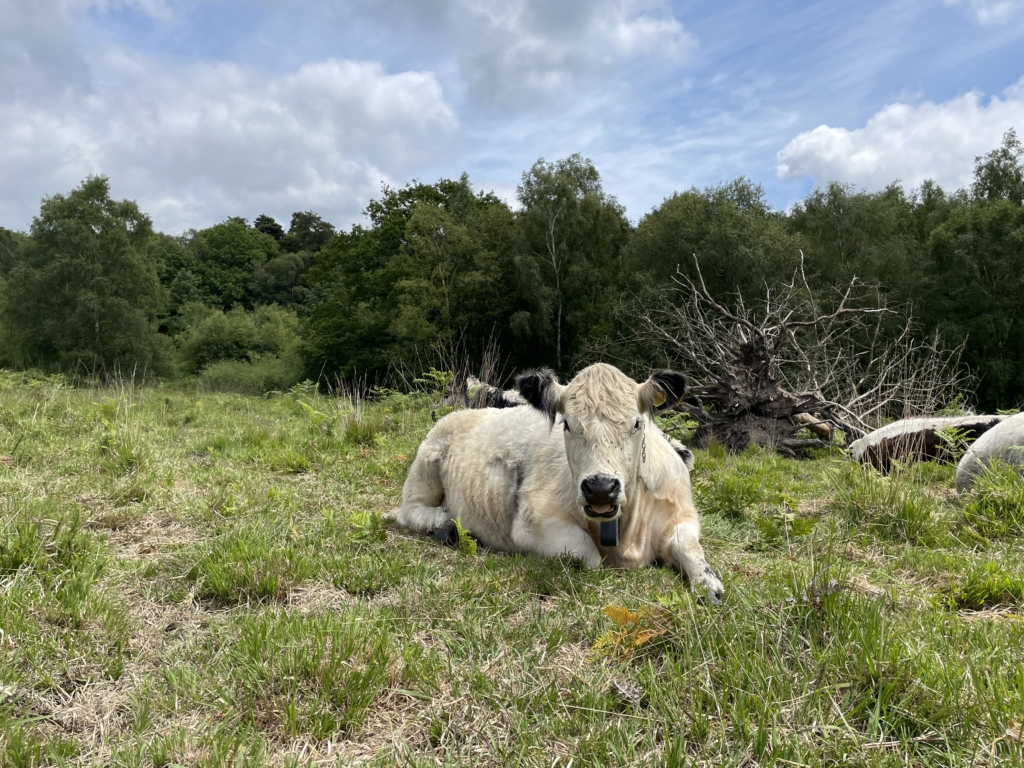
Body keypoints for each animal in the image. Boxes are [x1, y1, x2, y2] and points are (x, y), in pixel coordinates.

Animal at [388, 363, 725, 600]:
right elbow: (588, 555)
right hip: (425, 464)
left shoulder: (683, 512)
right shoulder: (532, 523)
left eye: (637, 424)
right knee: (410, 512)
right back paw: (448, 526)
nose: (600, 487)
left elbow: (689, 547)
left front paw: (708, 583)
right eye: (567, 424)